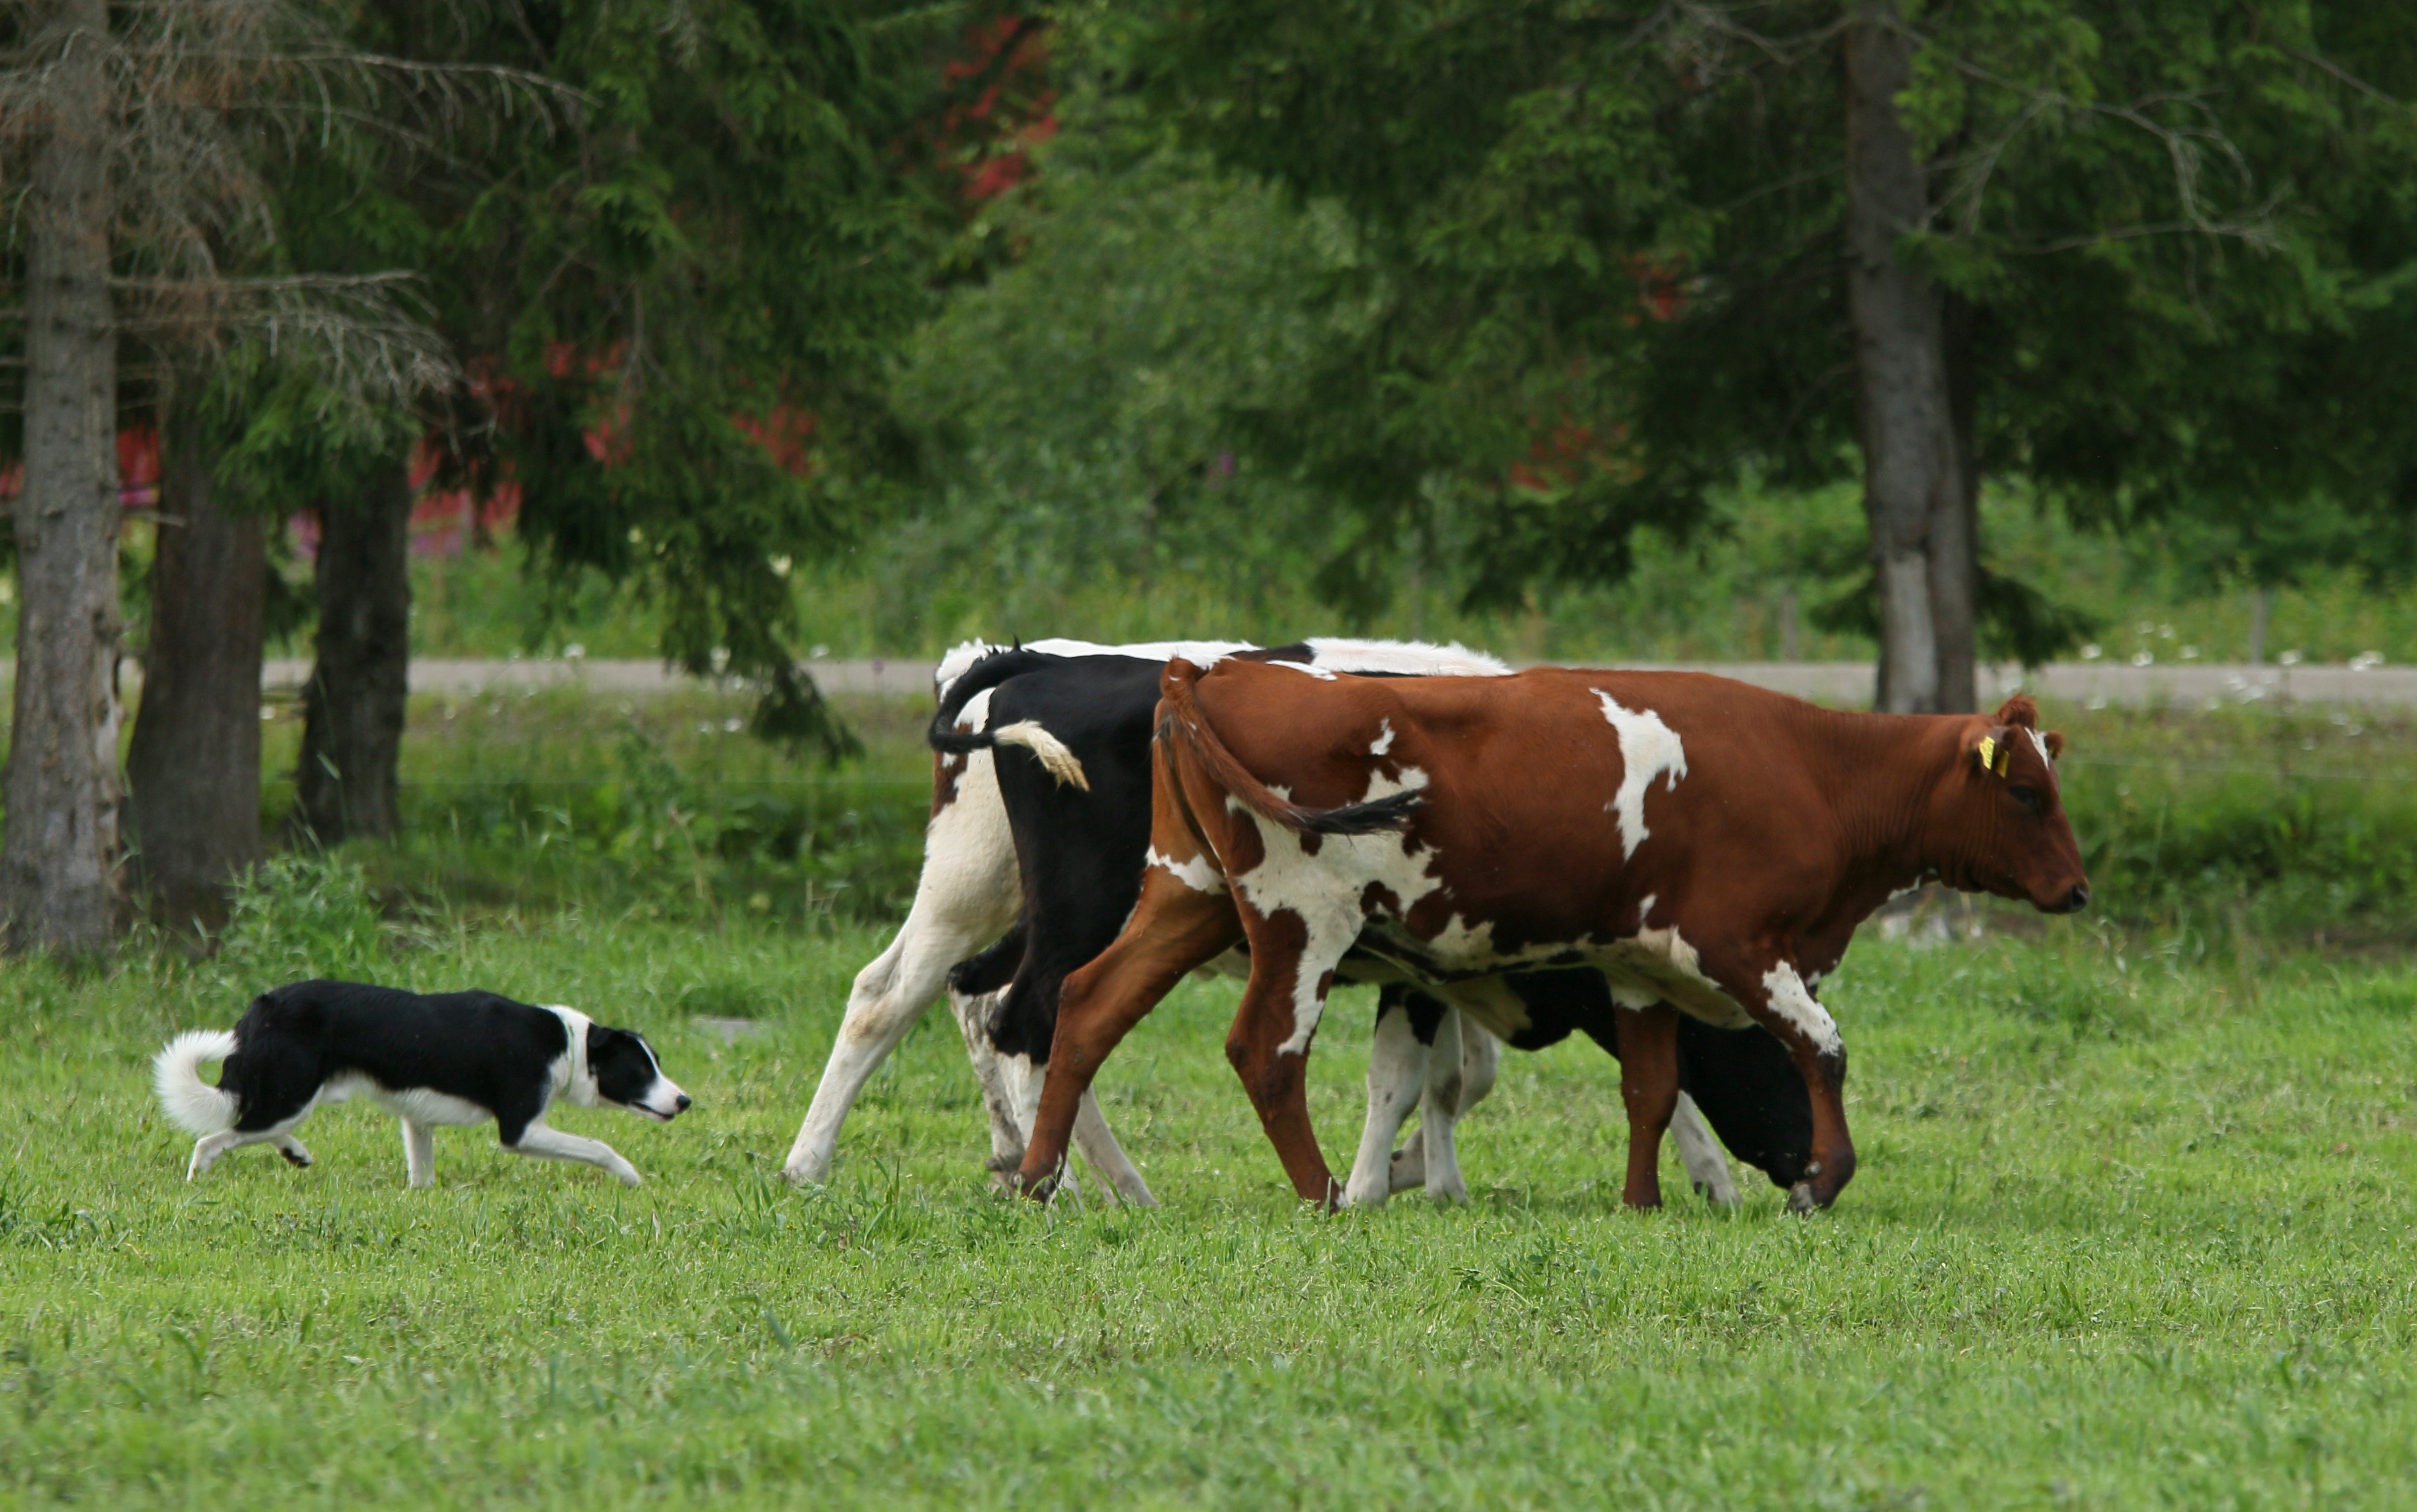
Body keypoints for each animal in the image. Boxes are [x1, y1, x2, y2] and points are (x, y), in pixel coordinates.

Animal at [154, 980, 691, 1188]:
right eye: (641, 1071)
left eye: (659, 1063)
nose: (685, 1101)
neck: (565, 1043)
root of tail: (261, 1008)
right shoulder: (520, 1130)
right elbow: (599, 1146)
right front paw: (631, 1177)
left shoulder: (418, 1120)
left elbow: (422, 1175)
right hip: (293, 1092)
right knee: (213, 1139)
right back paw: (198, 1179)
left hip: (294, 1096)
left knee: (253, 1127)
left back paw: (295, 1152)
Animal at [1009, 659, 2089, 1212]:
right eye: (2027, 794)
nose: (2078, 890)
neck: (1814, 770)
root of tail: (1211, 666)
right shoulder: (1740, 944)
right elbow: (1821, 1048)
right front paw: (1823, 1180)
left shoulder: (1641, 965)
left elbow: (1652, 1087)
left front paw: (1641, 1201)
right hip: (1301, 918)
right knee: (1264, 1050)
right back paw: (1321, 1194)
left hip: (1183, 896)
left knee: (1085, 1007)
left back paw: (1035, 1177)